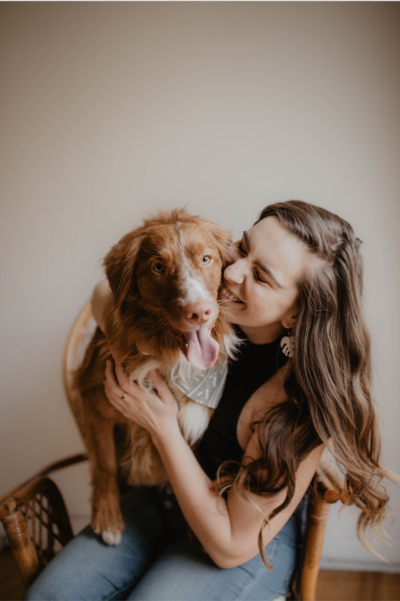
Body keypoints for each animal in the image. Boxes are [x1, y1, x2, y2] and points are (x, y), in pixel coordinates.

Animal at [72, 209, 238, 548]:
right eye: (158, 267)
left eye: (206, 259)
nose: (200, 312)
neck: (167, 357)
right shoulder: (95, 396)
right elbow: (106, 463)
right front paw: (108, 516)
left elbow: (193, 465)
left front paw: (197, 532)